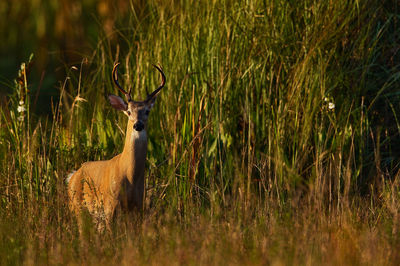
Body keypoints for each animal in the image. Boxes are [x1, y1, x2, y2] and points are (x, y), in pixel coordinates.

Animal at [67, 62, 166, 229]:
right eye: (128, 111)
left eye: (147, 111)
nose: (138, 125)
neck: (130, 175)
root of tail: (72, 176)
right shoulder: (111, 204)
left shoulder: (138, 205)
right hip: (77, 206)